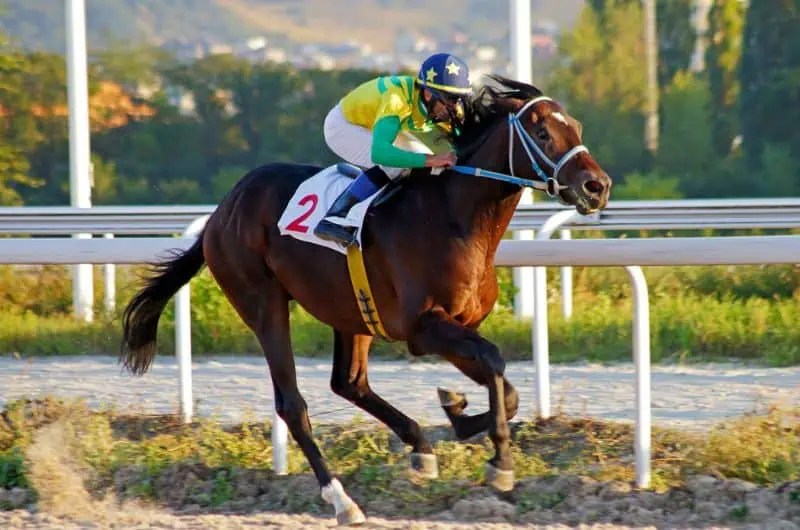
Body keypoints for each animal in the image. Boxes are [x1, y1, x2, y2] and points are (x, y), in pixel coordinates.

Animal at [120, 75, 611, 525]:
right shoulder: (423, 327)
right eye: (543, 133)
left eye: (578, 127)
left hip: (351, 312)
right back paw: (342, 500)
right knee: (292, 404)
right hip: (262, 301)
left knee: (349, 383)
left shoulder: (458, 325)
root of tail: (222, 210)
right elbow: (494, 362)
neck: (453, 218)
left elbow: (505, 390)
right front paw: (500, 462)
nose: (597, 186)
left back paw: (419, 446)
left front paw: (457, 411)